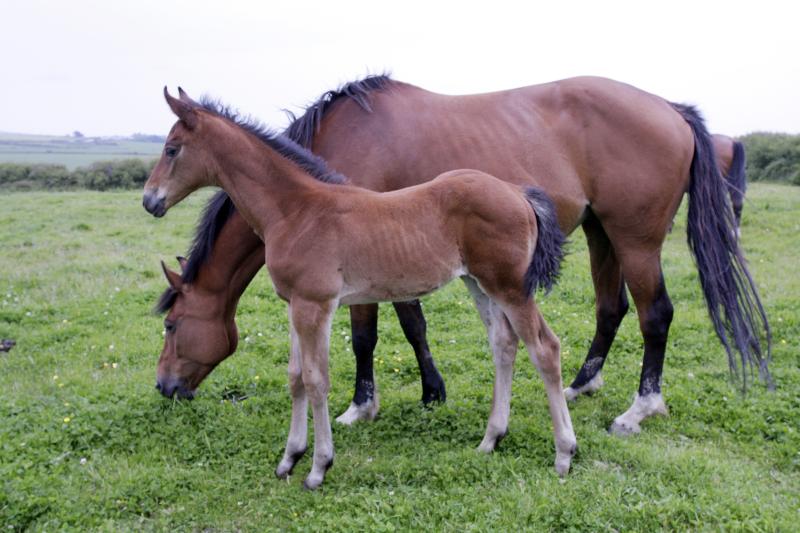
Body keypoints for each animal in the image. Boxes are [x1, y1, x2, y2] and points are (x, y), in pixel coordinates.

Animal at [144, 89, 580, 488]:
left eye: (171, 149)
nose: (150, 200)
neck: (296, 210)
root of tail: (519, 193)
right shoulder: (293, 305)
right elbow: (295, 377)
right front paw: (289, 459)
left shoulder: (316, 305)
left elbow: (317, 380)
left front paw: (318, 467)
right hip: (479, 284)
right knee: (504, 345)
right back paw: (490, 440)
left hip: (510, 286)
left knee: (545, 348)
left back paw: (564, 453)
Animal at [150, 72, 768, 434]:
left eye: (173, 325)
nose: (164, 388)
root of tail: (670, 107)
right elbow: (412, 324)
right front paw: (432, 391)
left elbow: (367, 335)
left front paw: (360, 406)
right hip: (601, 233)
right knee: (610, 308)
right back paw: (581, 384)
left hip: (636, 239)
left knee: (654, 314)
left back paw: (639, 409)